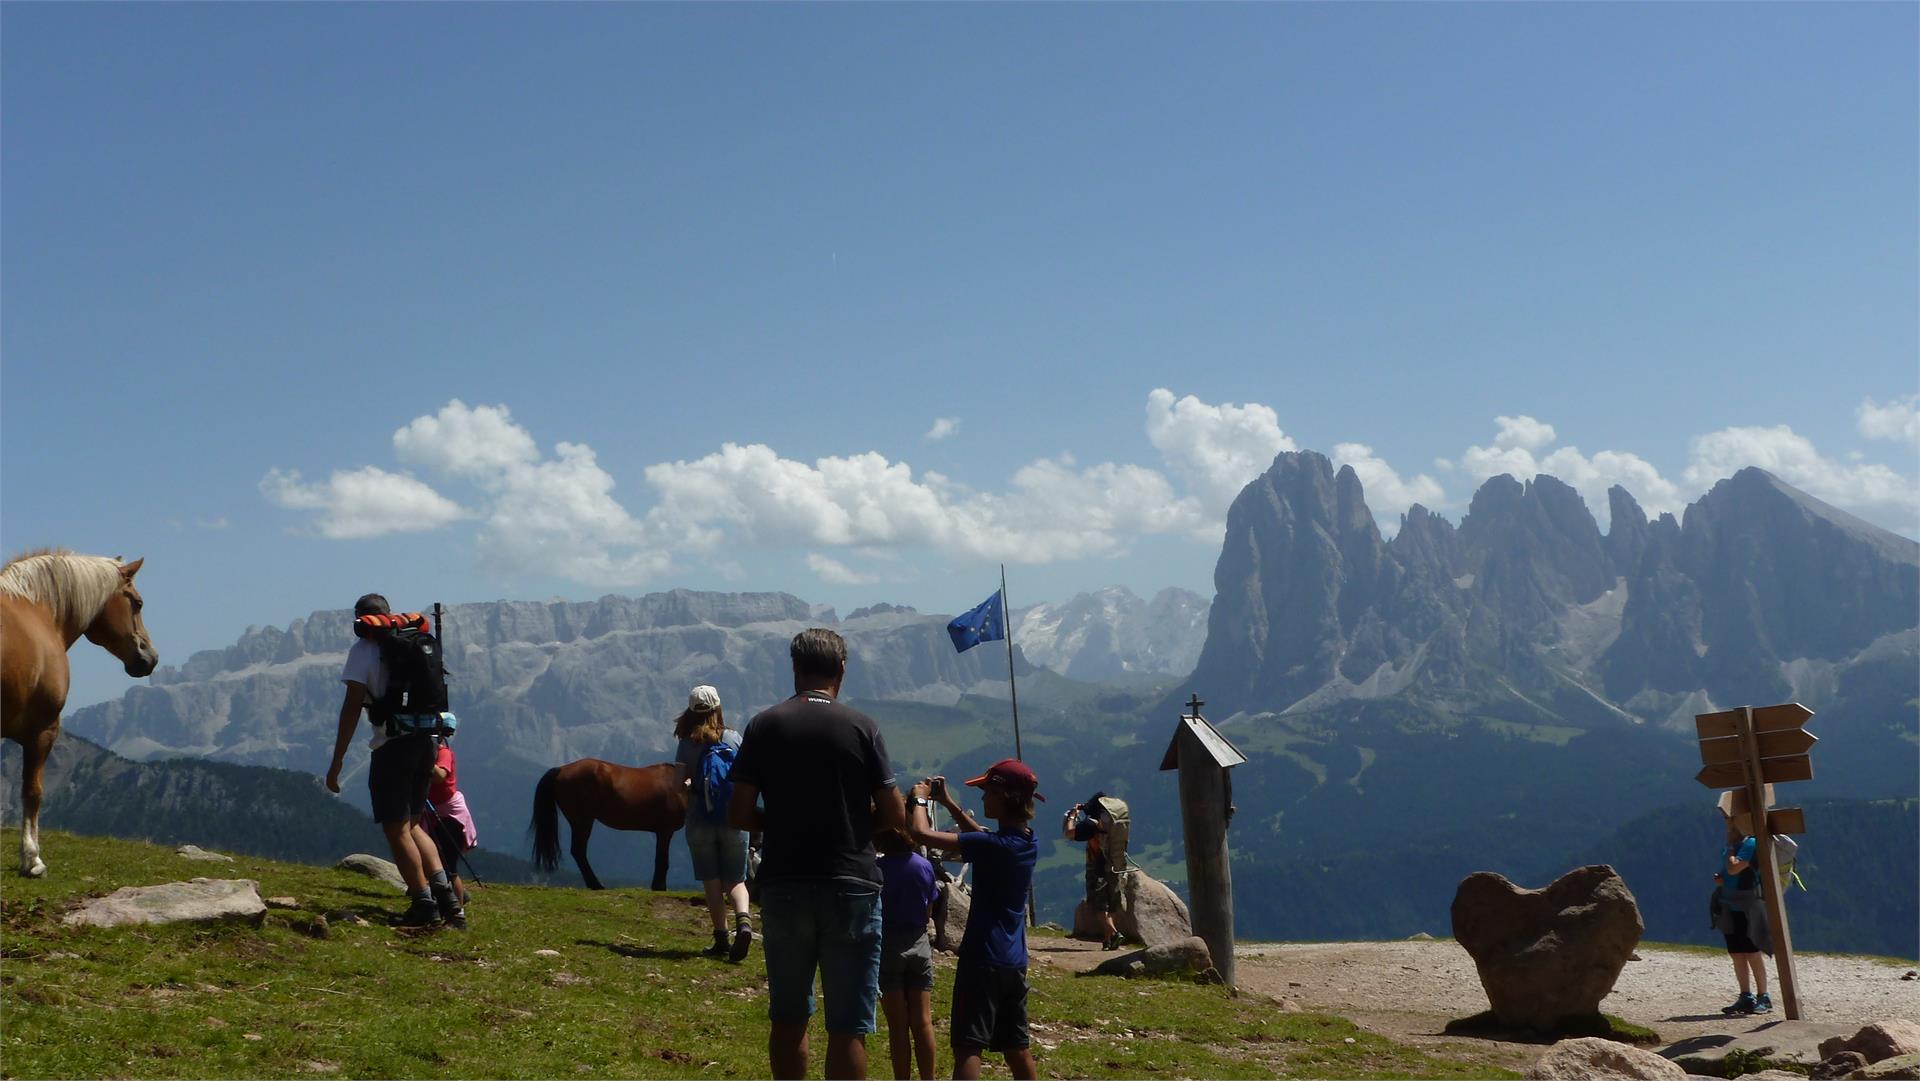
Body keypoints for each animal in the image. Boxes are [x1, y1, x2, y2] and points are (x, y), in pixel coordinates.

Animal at [0, 549, 156, 879]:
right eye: (137, 603)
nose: (150, 658)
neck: (38, 611)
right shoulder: (43, 730)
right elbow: (32, 792)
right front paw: (32, 859)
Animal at [533, 756, 691, 890]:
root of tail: (560, 769)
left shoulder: (661, 832)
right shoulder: (665, 831)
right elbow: (662, 860)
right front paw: (660, 887)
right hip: (582, 821)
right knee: (578, 851)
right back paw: (596, 884)